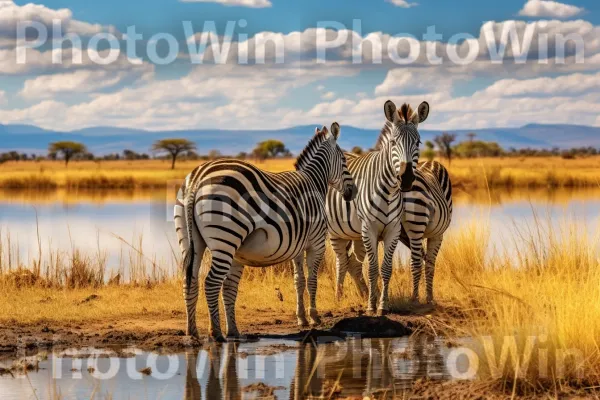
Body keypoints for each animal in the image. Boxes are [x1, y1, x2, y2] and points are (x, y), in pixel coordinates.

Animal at [173, 122, 356, 340]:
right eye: (344, 160)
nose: (352, 192)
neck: (313, 181)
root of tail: (197, 178)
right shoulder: (317, 242)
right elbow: (312, 280)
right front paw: (314, 317)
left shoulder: (297, 246)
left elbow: (299, 281)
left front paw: (301, 318)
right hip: (226, 238)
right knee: (210, 282)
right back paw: (216, 333)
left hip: (191, 241)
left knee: (190, 280)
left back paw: (193, 331)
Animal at [326, 99, 428, 312]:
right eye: (393, 143)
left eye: (418, 143)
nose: (406, 179)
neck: (388, 191)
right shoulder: (369, 229)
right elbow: (373, 269)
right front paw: (371, 306)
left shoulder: (393, 230)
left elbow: (386, 268)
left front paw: (383, 304)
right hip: (336, 232)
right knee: (341, 261)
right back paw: (338, 296)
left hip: (355, 234)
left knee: (352, 262)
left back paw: (363, 293)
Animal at [340, 159, 452, 304]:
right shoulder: (437, 234)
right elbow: (430, 265)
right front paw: (429, 298)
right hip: (416, 225)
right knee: (415, 263)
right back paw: (414, 298)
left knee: (353, 261)